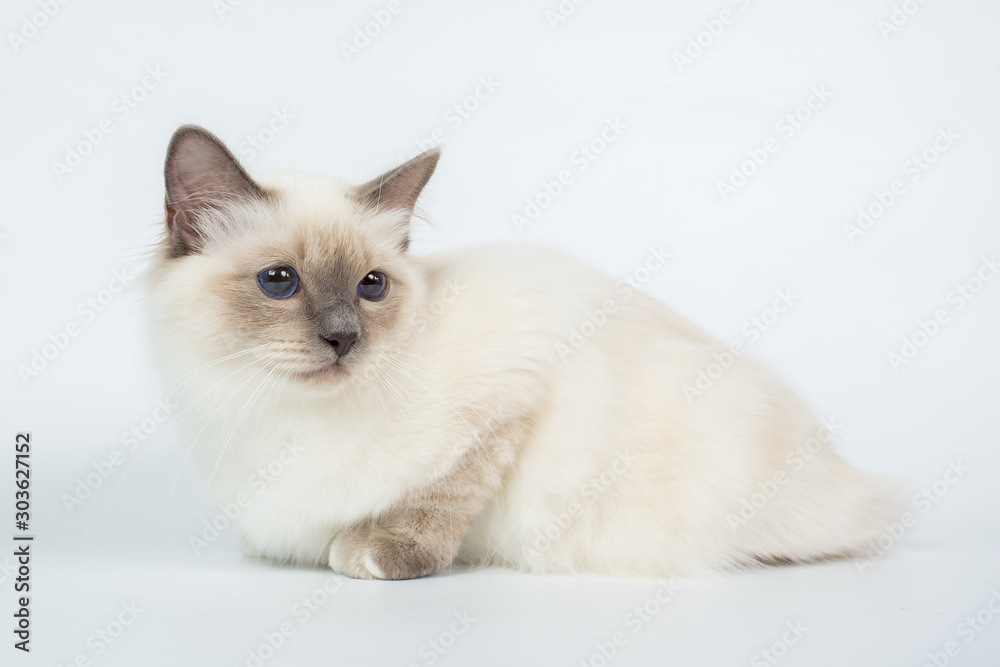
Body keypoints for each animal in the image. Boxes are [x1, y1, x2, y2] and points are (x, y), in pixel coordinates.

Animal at [145, 125, 904, 580]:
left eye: (371, 286)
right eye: (280, 281)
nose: (343, 338)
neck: (280, 418)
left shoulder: (512, 395)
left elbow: (440, 495)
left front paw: (381, 553)